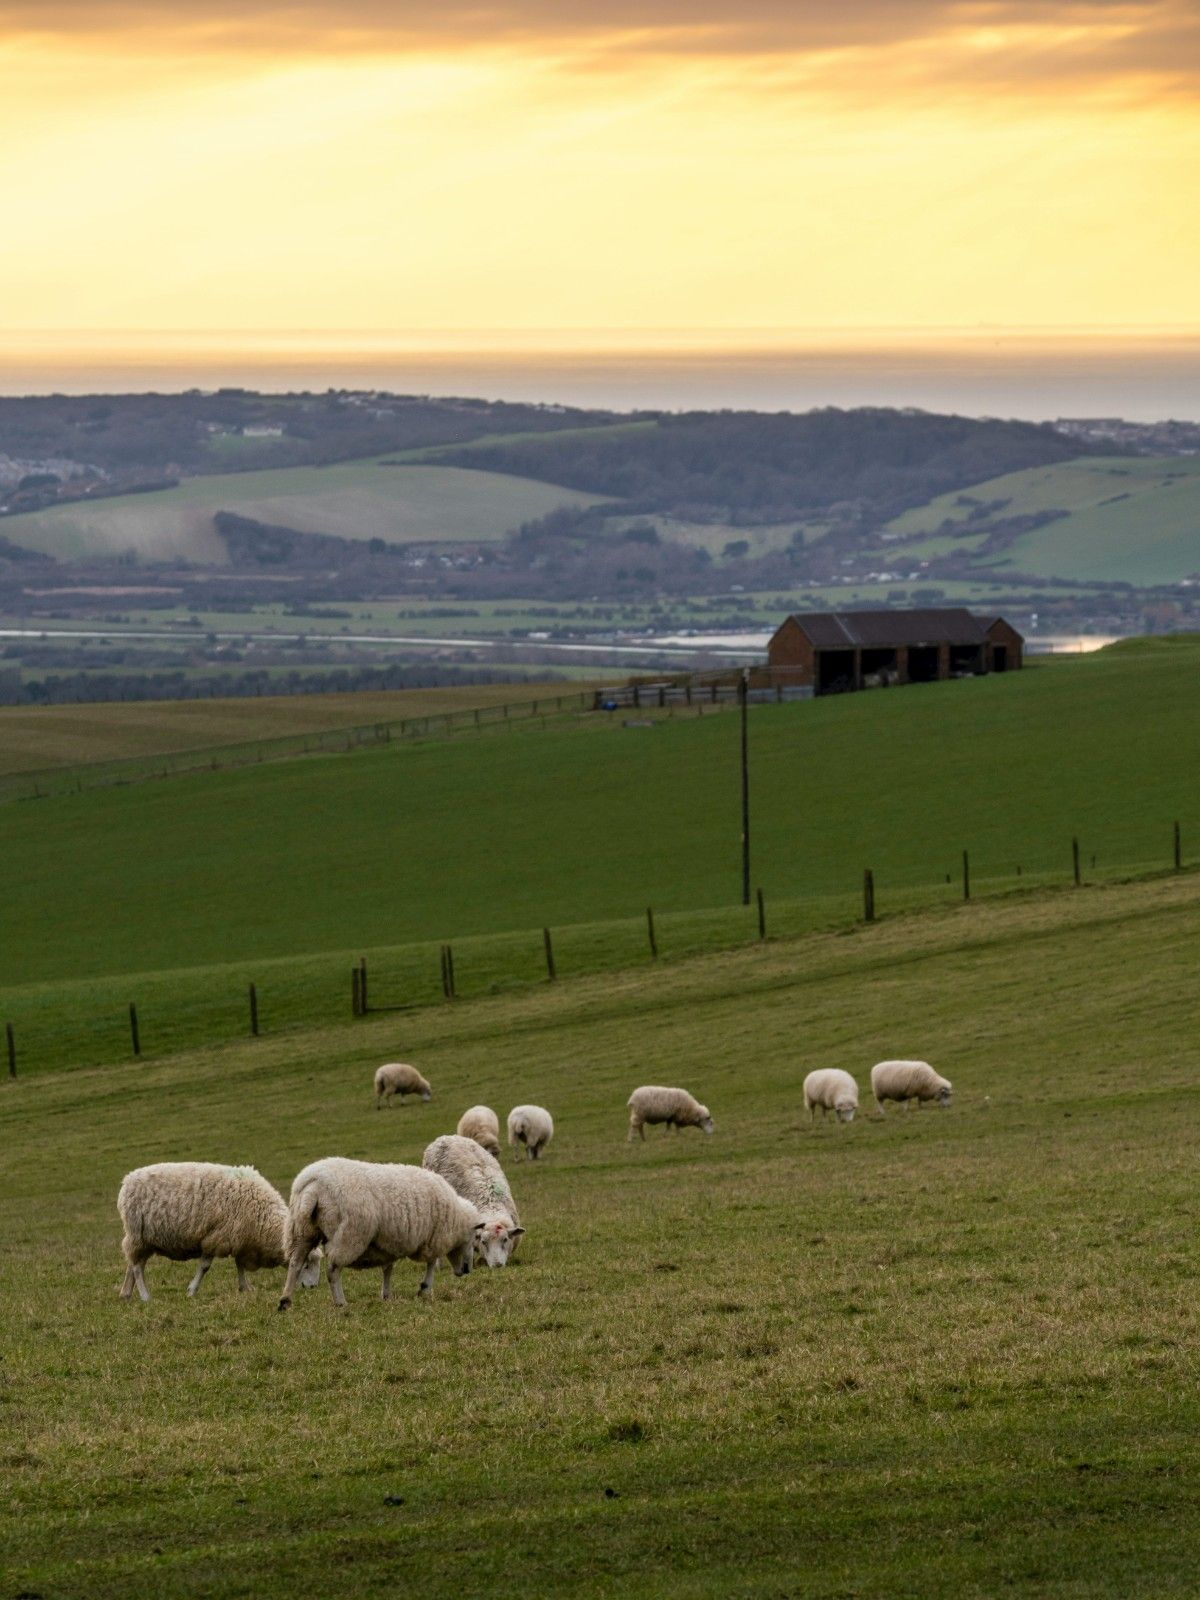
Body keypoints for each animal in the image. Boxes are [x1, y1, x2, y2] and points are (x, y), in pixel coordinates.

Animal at [116, 1164, 320, 1299]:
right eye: (306, 1264)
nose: (312, 1287)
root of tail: (127, 1181)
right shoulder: (215, 1238)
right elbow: (205, 1267)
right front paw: (192, 1290)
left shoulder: (239, 1237)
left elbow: (239, 1264)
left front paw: (245, 1287)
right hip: (138, 1235)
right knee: (137, 1267)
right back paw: (145, 1296)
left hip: (144, 1239)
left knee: (134, 1264)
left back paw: (126, 1293)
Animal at [280, 1158, 486, 1305]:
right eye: (474, 1238)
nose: (467, 1270)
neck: (455, 1219)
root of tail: (314, 1186)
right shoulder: (431, 1238)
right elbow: (430, 1262)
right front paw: (425, 1288)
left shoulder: (390, 1242)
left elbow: (388, 1269)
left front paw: (386, 1294)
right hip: (349, 1235)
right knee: (332, 1270)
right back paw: (340, 1302)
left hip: (302, 1230)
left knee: (295, 1263)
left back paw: (285, 1300)